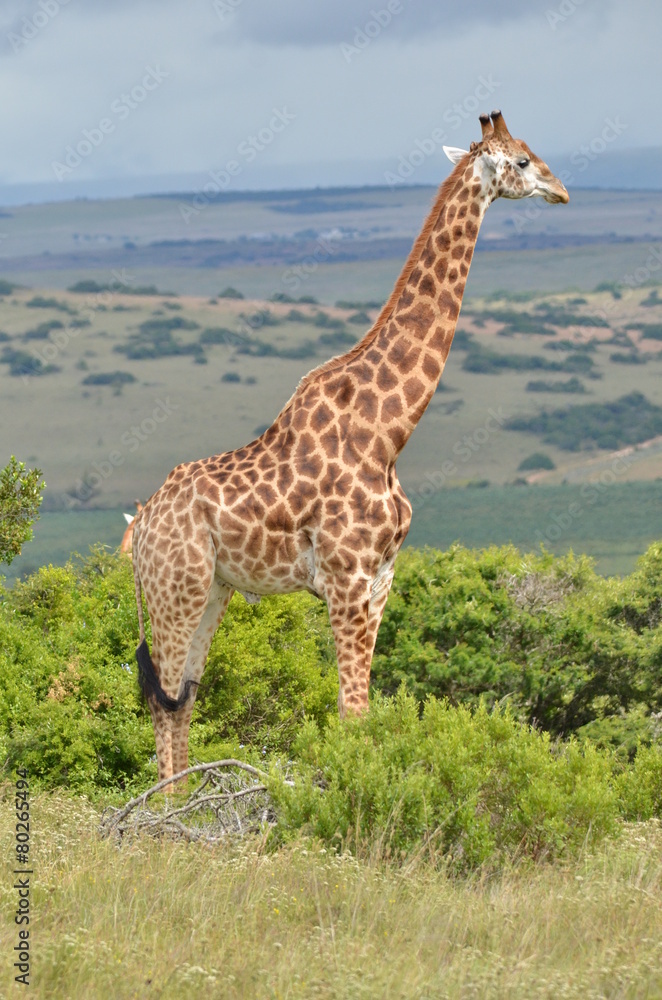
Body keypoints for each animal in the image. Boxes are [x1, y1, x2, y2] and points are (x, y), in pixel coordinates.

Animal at [132, 110, 569, 785]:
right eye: (521, 161)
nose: (561, 190)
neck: (389, 430)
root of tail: (138, 527)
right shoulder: (346, 577)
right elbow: (354, 711)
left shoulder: (382, 578)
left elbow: (358, 706)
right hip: (174, 588)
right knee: (163, 697)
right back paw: (165, 808)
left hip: (212, 589)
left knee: (184, 697)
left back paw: (179, 799)